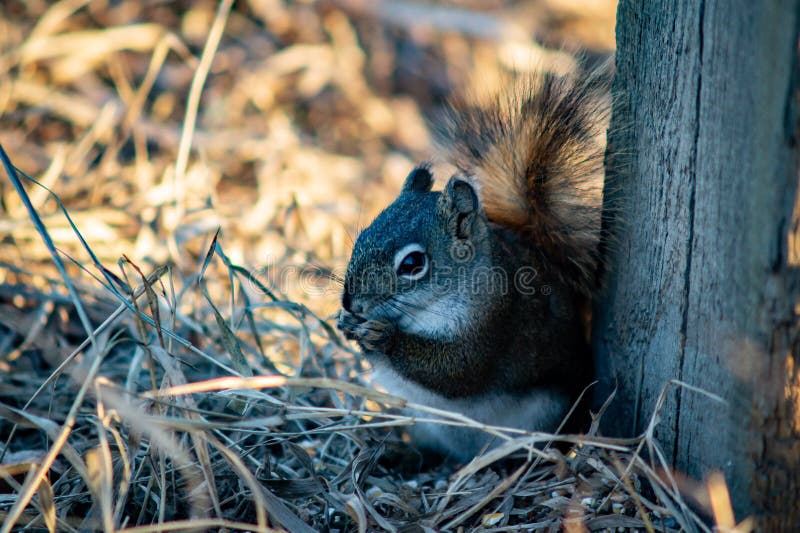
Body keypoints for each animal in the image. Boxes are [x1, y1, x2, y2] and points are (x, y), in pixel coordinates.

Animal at [337, 65, 610, 461]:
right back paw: (403, 454)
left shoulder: (496, 316)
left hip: (544, 417)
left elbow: (457, 370)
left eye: (412, 264)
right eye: (361, 238)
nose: (350, 303)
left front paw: (384, 337)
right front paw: (346, 324)